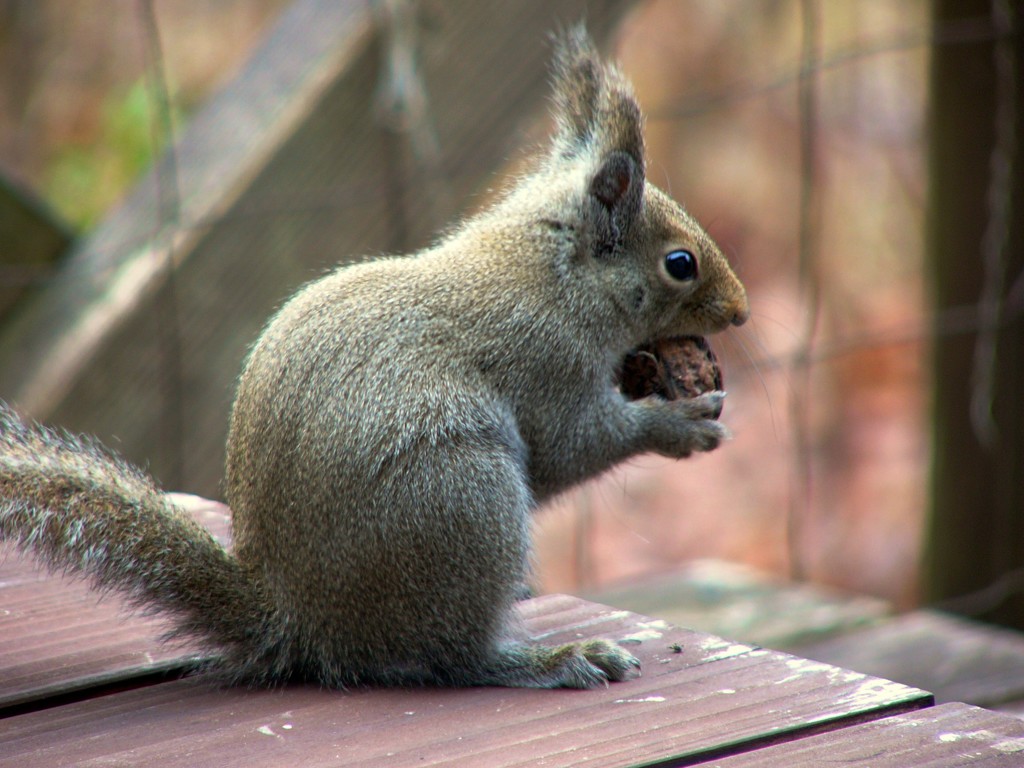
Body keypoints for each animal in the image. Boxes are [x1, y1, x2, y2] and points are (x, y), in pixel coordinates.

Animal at [0, 30, 745, 692]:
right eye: (681, 264)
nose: (739, 312)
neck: (551, 274)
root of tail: (303, 625)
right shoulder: (544, 363)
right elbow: (573, 447)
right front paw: (678, 423)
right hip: (461, 502)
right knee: (451, 658)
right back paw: (549, 660)